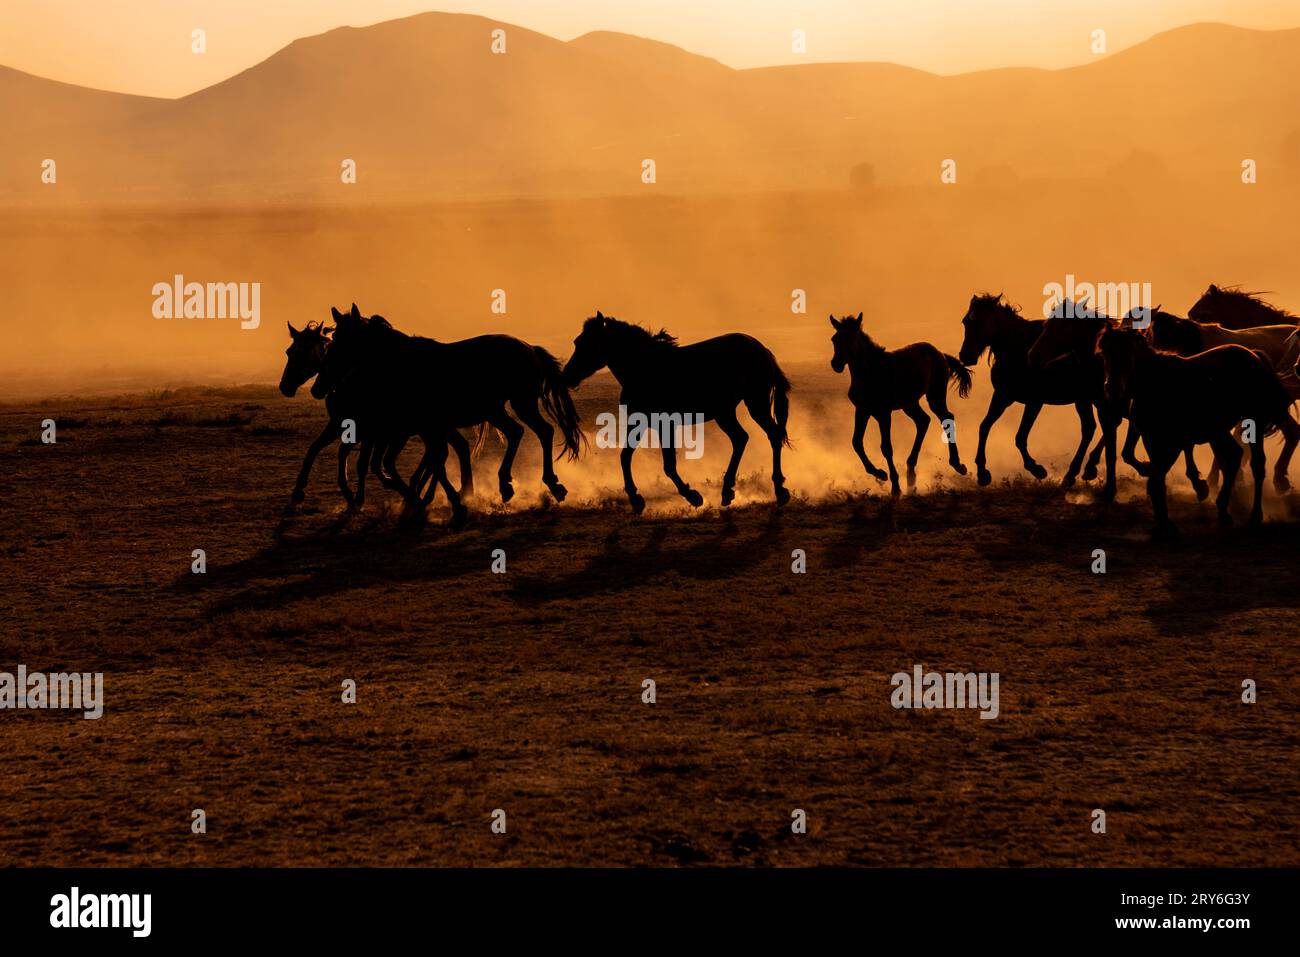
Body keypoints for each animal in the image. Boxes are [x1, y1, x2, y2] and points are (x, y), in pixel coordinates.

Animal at [278, 315, 473, 509]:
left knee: (440, 453)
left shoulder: (369, 431)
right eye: (289, 351)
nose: (285, 387)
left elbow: (363, 462)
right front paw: (300, 490)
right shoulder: (341, 424)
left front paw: (358, 497)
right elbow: (318, 448)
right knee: (450, 449)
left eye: (304, 353)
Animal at [561, 312, 790, 509]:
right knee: (741, 438)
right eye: (576, 342)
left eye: (587, 344)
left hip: (755, 403)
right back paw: (728, 492)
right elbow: (625, 456)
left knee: (772, 435)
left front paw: (693, 497)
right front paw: (636, 500)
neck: (643, 369)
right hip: (724, 412)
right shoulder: (639, 422)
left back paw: (779, 490)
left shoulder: (665, 424)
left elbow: (669, 465)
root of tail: (760, 349)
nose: (567, 376)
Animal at [826, 314, 972, 496]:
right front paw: (880, 474)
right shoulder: (862, 410)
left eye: (851, 338)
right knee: (923, 421)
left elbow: (886, 447)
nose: (836, 364)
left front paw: (895, 486)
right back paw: (910, 472)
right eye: (834, 339)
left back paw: (958, 465)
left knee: (946, 417)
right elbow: (856, 442)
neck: (870, 372)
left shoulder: (883, 413)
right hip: (909, 403)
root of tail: (940, 353)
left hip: (934, 395)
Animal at [961, 291, 1112, 494]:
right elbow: (984, 426)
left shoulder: (1034, 401)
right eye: (965, 321)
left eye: (981, 321)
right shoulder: (1002, 396)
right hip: (1087, 399)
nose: (965, 356)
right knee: (1095, 426)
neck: (1018, 349)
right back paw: (1080, 472)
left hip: (1091, 396)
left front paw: (1037, 469)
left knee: (1101, 424)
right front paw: (982, 473)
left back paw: (1082, 470)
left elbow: (1020, 437)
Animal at [1097, 327, 1289, 538]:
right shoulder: (1151, 439)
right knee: (1233, 456)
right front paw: (1162, 523)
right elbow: (1155, 478)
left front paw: (1166, 524)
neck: (1156, 384)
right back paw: (1223, 512)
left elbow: (1156, 478)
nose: (1112, 389)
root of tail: (1254, 356)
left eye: (1129, 352)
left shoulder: (1172, 444)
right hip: (1218, 431)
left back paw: (1255, 516)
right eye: (1105, 351)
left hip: (1253, 421)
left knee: (1257, 465)